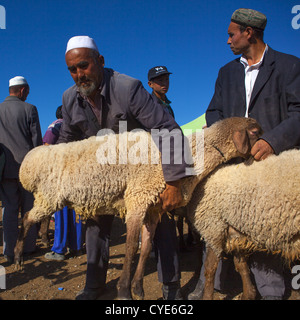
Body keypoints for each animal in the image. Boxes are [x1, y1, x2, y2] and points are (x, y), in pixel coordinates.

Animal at [12, 117, 262, 300]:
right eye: (255, 132)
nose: (265, 150)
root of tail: (30, 163)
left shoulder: (153, 209)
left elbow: (146, 247)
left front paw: (138, 288)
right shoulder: (137, 198)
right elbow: (131, 247)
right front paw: (124, 291)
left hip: (49, 198)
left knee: (28, 217)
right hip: (49, 197)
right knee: (27, 217)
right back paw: (18, 255)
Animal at [186, 149, 300, 300]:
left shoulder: (214, 229)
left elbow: (210, 269)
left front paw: (207, 296)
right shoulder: (234, 233)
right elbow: (241, 266)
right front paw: (249, 294)